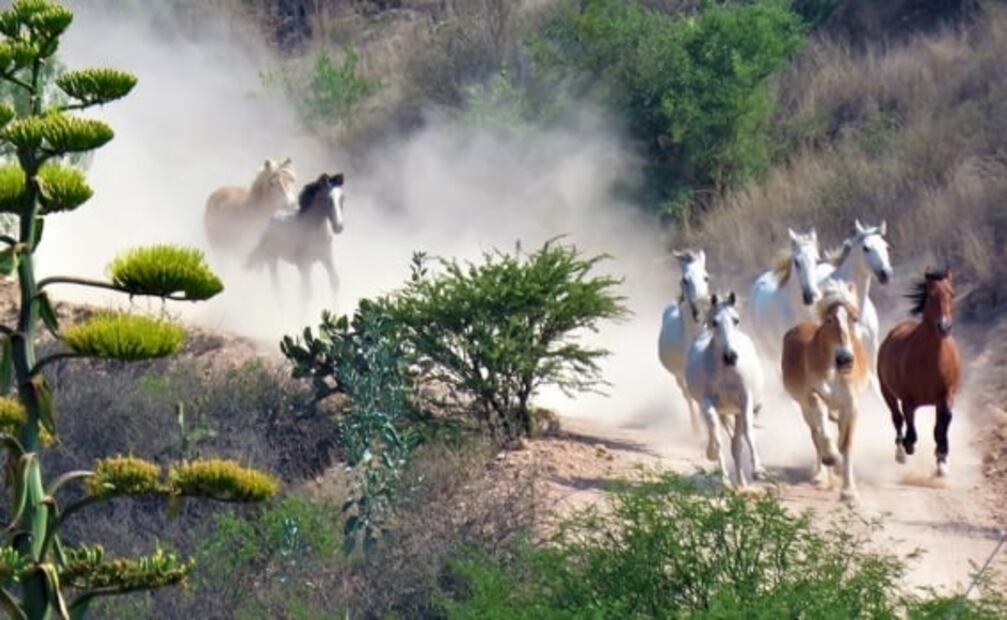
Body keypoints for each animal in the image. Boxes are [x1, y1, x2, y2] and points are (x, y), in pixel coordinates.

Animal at [246, 172, 345, 301]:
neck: (316, 231)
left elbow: (335, 282)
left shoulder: (327, 257)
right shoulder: (304, 263)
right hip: (272, 257)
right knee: (276, 287)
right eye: (327, 199)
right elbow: (306, 293)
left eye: (342, 198)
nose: (339, 227)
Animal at [658, 249, 711, 433]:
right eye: (684, 280)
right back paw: (696, 429)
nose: (699, 312)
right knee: (687, 396)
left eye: (706, 277)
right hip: (678, 376)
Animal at [685, 292, 766, 487]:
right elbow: (716, 435)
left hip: (736, 412)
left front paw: (758, 470)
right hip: (718, 410)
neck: (725, 373)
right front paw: (712, 455)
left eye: (736, 320)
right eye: (714, 322)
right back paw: (726, 477)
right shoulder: (707, 403)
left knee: (736, 444)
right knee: (720, 435)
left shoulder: (745, 401)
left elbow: (748, 433)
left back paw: (742, 482)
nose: (731, 357)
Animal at [781, 281, 869, 502]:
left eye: (854, 318)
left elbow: (846, 444)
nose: (845, 360)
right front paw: (831, 457)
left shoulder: (851, 406)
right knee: (815, 435)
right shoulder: (812, 397)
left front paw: (848, 491)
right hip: (804, 408)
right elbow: (822, 431)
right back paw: (821, 476)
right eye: (829, 319)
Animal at [878, 269, 961, 478]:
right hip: (887, 392)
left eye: (952, 294)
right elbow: (910, 426)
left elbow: (942, 424)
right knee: (897, 419)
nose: (944, 327)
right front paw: (909, 446)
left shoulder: (946, 395)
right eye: (931, 296)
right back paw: (901, 452)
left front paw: (942, 461)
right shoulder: (908, 400)